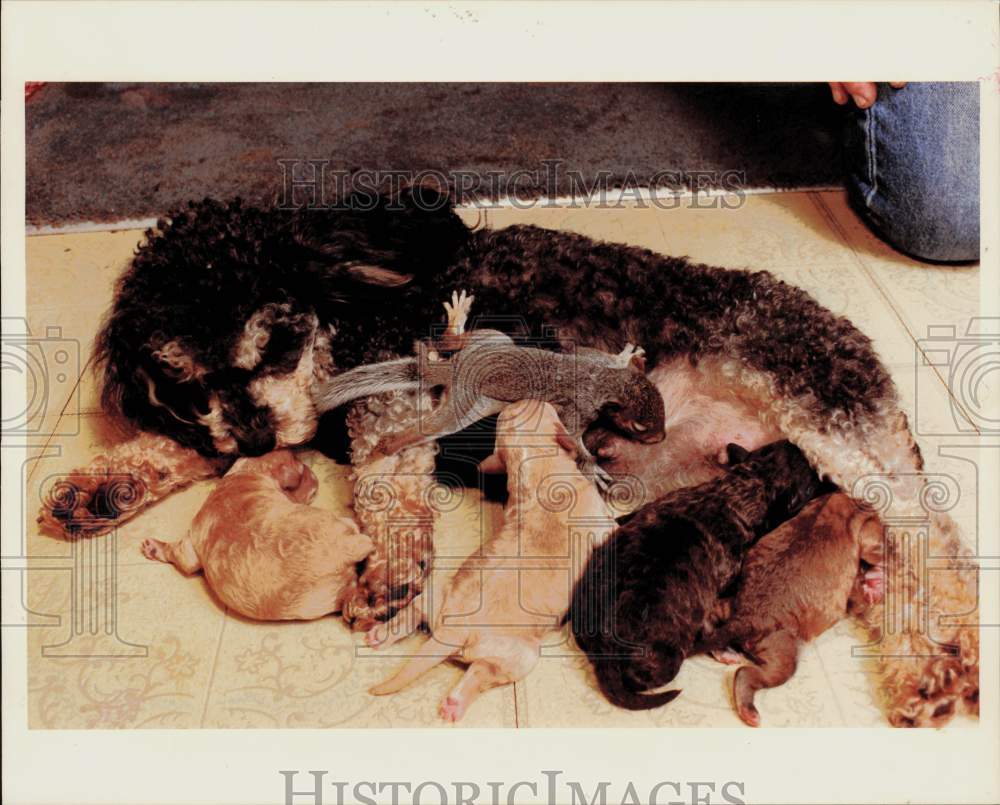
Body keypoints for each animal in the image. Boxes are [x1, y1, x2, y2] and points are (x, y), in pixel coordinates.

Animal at [140, 450, 372, 620]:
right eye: (302, 470)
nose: (314, 475)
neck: (247, 473)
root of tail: (347, 548)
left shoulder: (190, 545)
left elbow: (179, 556)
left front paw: (156, 548)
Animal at [316, 294, 668, 486]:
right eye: (640, 426)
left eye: (662, 404)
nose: (661, 438)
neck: (601, 382)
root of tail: (457, 369)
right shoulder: (576, 409)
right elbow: (572, 437)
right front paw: (591, 466)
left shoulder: (592, 359)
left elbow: (600, 353)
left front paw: (627, 355)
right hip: (466, 405)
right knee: (431, 427)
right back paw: (390, 444)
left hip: (493, 339)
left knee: (454, 342)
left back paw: (455, 326)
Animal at [368, 402, 616, 724]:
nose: (525, 399)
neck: (535, 464)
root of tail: (452, 632)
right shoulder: (603, 523)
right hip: (521, 655)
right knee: (480, 674)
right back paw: (454, 704)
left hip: (436, 592)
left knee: (413, 612)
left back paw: (380, 634)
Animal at [696, 494, 884, 724]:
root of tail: (747, 618)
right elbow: (860, 598)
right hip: (781, 649)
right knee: (747, 673)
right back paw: (749, 711)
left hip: (729, 606)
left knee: (711, 616)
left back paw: (724, 653)